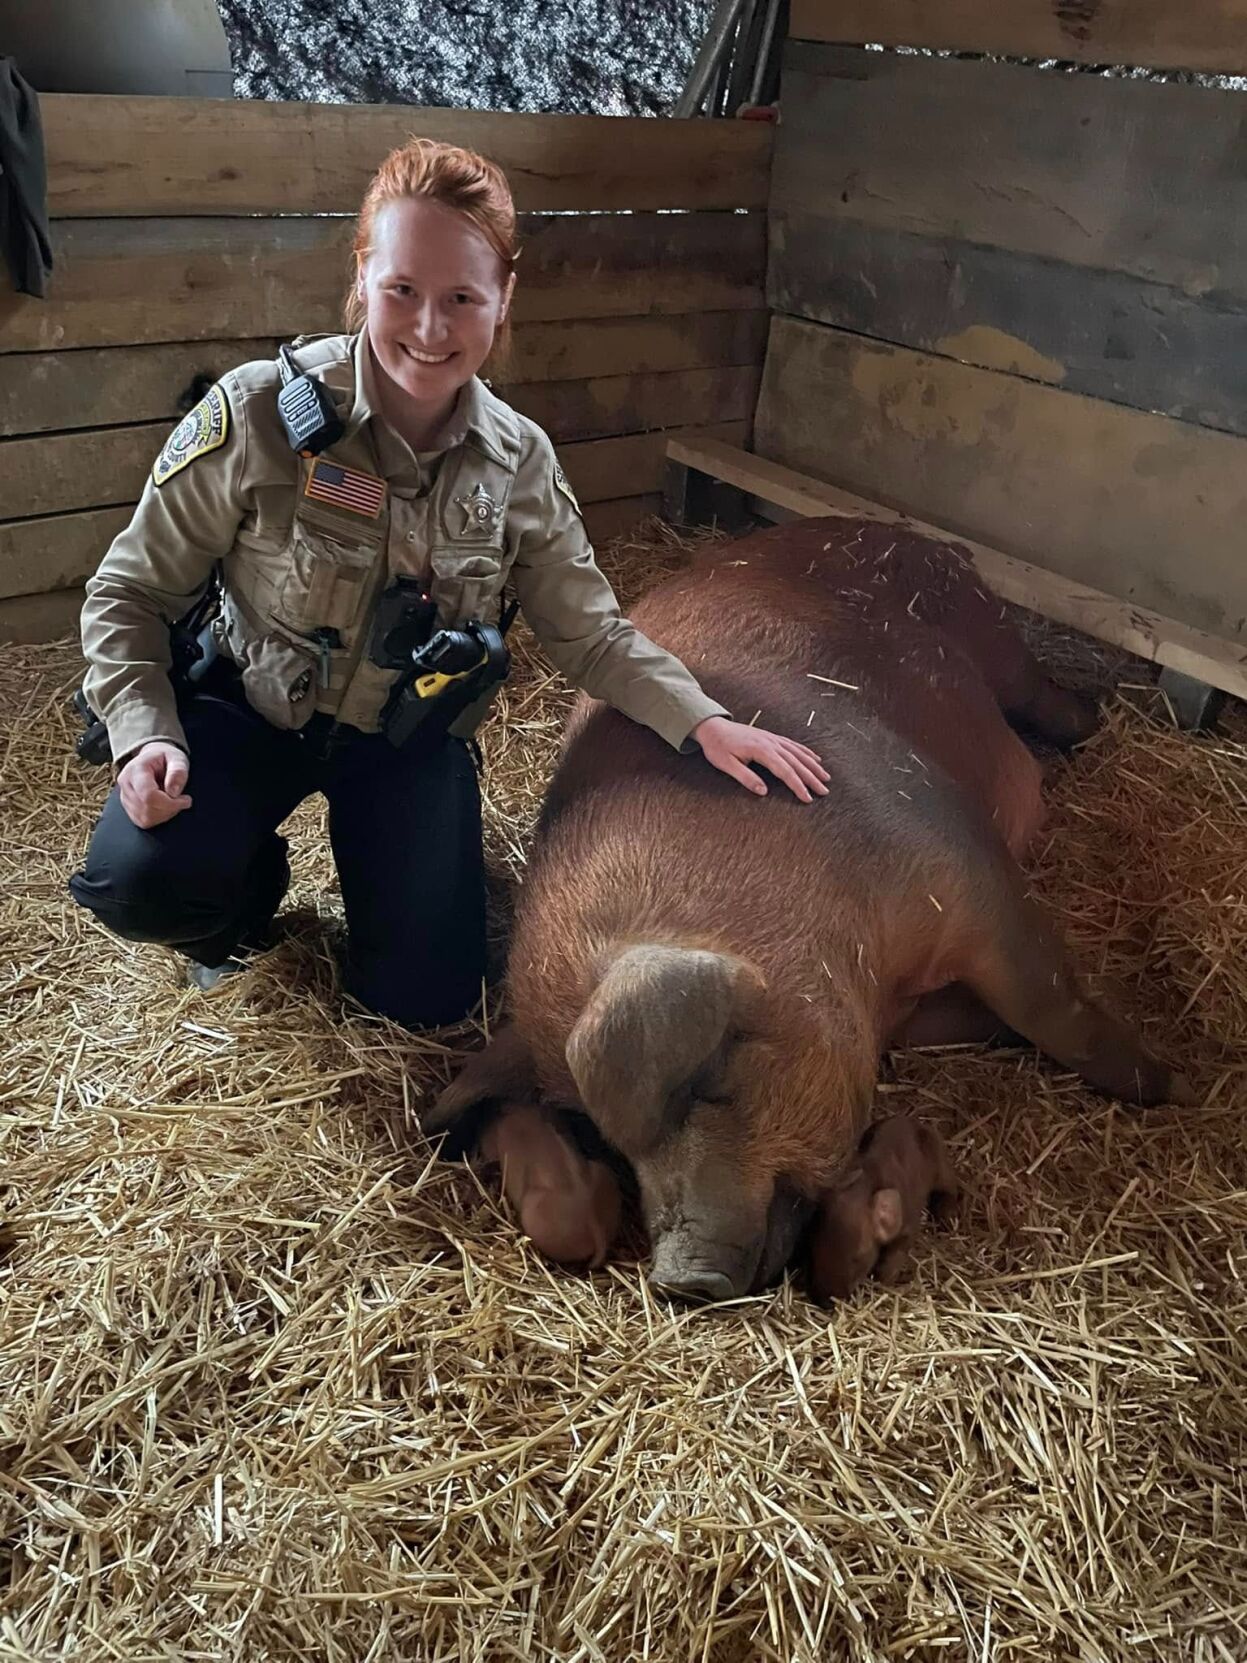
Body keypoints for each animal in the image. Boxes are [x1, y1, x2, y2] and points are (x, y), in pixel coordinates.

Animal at [814, 1110, 964, 1303]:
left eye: (858, 1258)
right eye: (817, 1246)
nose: (826, 1301)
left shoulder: (908, 1225)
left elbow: (895, 1254)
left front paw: (884, 1281)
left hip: (941, 1165)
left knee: (949, 1186)